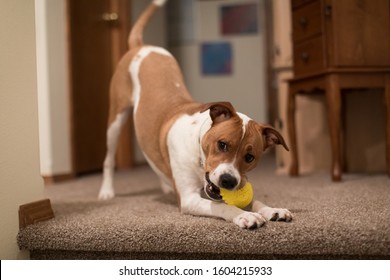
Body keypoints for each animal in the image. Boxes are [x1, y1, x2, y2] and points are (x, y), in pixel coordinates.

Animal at [98, 0, 292, 229]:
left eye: (250, 157)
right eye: (222, 144)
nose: (228, 181)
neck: (198, 148)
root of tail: (141, 46)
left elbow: (256, 200)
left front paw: (272, 209)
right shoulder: (189, 198)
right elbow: (221, 206)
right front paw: (244, 215)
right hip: (115, 120)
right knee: (109, 159)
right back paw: (106, 191)